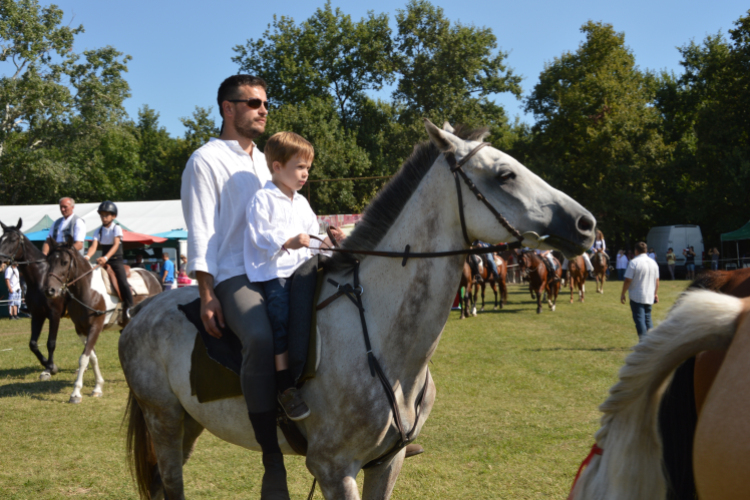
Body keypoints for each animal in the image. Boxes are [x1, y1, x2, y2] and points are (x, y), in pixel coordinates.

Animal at [0, 219, 67, 378]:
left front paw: (50, 368)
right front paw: (48, 364)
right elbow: (33, 344)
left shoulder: (54, 314)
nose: (0, 259)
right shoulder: (37, 315)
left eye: (13, 240)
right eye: (1, 239)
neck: (41, 278)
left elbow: (51, 342)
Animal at [44, 237, 162, 402]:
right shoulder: (80, 329)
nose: (50, 290)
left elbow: (83, 358)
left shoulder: (96, 326)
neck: (87, 290)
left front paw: (76, 393)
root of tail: (152, 276)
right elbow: (92, 357)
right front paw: (98, 388)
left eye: (65, 262)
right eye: (48, 261)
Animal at [120, 121, 596, 500]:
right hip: (163, 420)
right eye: (505, 174)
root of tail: (141, 312)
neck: (384, 340)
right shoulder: (335, 470)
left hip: (188, 423)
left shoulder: (386, 464)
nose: (585, 224)